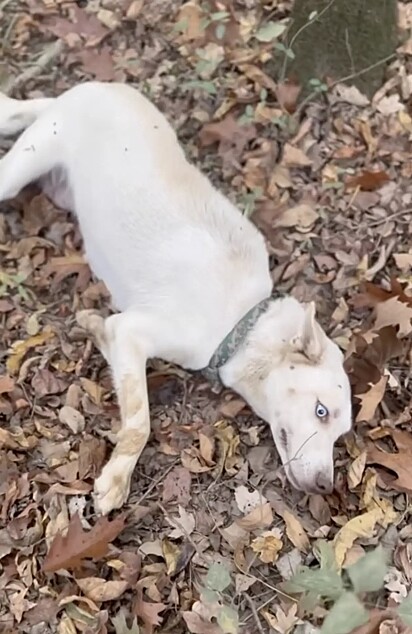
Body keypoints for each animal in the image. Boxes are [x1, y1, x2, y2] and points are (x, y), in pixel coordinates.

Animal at [0, 80, 352, 512]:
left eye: (340, 434)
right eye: (321, 411)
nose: (325, 486)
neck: (241, 323)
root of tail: (99, 86)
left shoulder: (121, 336)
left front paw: (90, 327)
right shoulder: (134, 332)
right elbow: (140, 422)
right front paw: (116, 479)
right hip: (18, 171)